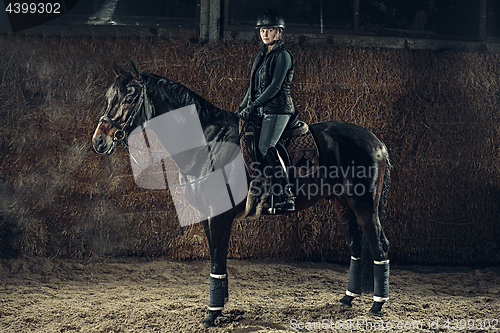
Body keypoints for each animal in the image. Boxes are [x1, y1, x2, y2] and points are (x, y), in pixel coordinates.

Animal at [92, 60, 392, 326]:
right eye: (109, 97)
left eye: (130, 97)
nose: (99, 140)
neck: (207, 142)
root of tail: (377, 142)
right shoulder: (207, 216)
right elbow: (218, 259)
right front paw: (220, 305)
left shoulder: (219, 216)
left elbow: (216, 260)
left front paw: (212, 314)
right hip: (343, 205)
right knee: (356, 246)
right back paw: (348, 298)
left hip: (364, 206)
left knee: (379, 246)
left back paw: (377, 305)